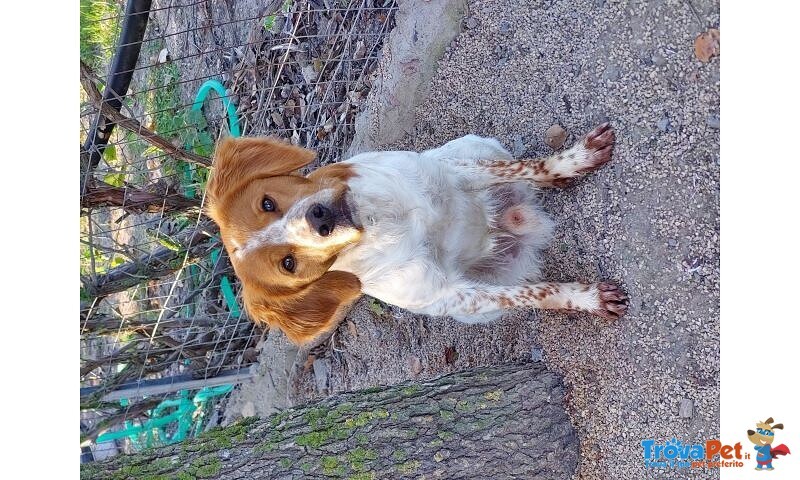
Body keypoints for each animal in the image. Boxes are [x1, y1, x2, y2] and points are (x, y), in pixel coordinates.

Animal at [208, 122, 632, 344]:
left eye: (267, 202)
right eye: (288, 264)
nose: (320, 219)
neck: (383, 223)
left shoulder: (457, 171)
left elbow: (528, 167)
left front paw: (572, 161)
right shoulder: (455, 295)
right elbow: (536, 293)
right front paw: (586, 298)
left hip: (473, 146)